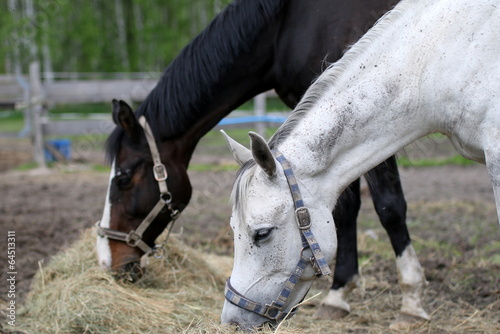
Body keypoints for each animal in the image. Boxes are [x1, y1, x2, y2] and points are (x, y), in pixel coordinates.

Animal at [94, 0, 422, 320]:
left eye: (123, 178)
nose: (107, 260)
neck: (286, 25)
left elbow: (389, 207)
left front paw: (410, 299)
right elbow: (345, 210)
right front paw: (339, 294)